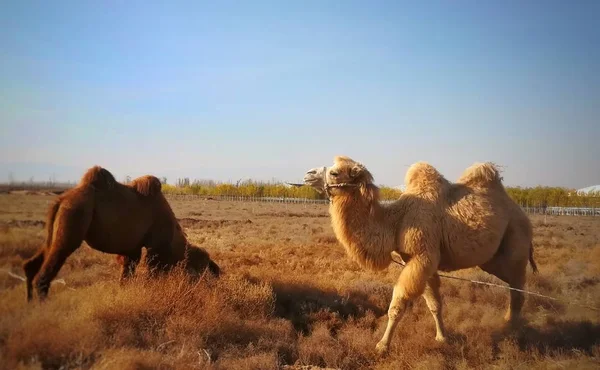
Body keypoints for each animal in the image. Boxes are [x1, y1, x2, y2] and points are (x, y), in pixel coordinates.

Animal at [24, 166, 220, 302]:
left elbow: (126, 275)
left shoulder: (133, 249)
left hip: (56, 229)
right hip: (74, 217)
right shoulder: (154, 248)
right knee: (49, 267)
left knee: (33, 262)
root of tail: (61, 199)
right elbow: (151, 274)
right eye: (203, 268)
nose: (211, 285)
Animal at [322, 155, 536, 354]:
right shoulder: (420, 260)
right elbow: (434, 303)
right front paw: (442, 337)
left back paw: (512, 330)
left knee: (517, 285)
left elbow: (398, 305)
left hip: (516, 237)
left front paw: (382, 345)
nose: (313, 173)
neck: (395, 221)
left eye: (334, 172)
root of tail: (522, 214)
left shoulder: (422, 256)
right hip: (492, 260)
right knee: (512, 285)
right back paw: (508, 322)